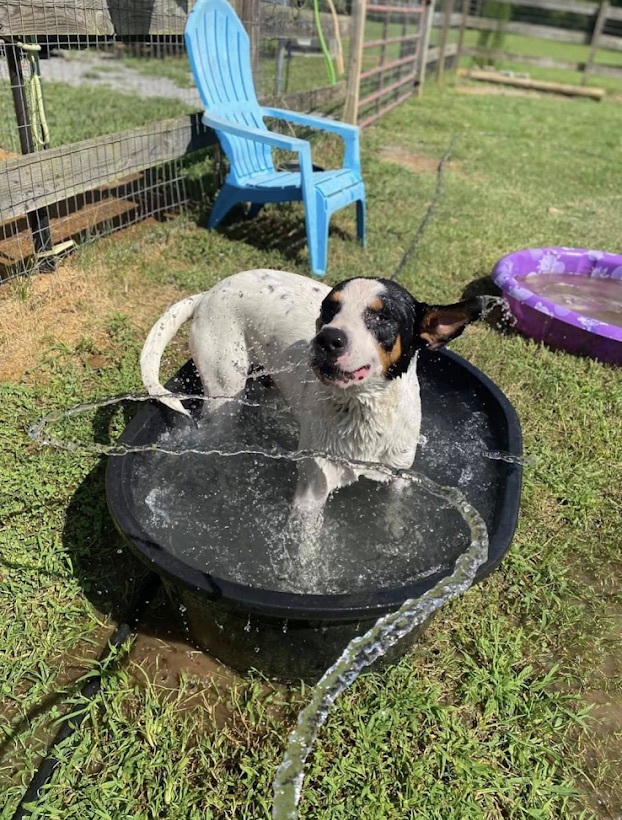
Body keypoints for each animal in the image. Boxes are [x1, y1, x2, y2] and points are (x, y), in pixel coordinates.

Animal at [141, 272, 482, 510]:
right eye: (329, 309)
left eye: (383, 317)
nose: (327, 339)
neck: (363, 410)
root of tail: (208, 293)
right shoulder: (311, 492)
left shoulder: (399, 476)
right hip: (224, 391)